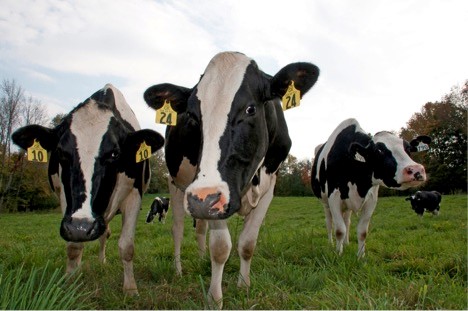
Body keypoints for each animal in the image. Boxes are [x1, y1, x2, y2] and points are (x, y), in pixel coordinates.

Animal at [11, 84, 165, 296]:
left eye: (114, 153)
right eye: (60, 152)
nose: (81, 227)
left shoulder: (135, 195)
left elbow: (126, 246)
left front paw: (130, 289)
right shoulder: (66, 200)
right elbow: (74, 247)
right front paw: (70, 284)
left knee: (105, 234)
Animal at [143, 52, 318, 308]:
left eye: (250, 109)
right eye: (193, 116)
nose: (202, 200)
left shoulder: (269, 187)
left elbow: (247, 243)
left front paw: (244, 285)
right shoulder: (213, 196)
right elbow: (220, 248)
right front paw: (214, 299)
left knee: (200, 228)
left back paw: (201, 258)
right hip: (177, 186)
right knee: (177, 229)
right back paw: (178, 270)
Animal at [312, 119, 430, 258]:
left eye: (408, 148)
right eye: (378, 151)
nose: (417, 170)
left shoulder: (371, 199)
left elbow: (362, 231)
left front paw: (360, 256)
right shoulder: (334, 197)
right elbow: (339, 230)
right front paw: (338, 254)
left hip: (347, 206)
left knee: (347, 221)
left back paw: (346, 243)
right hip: (325, 202)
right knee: (329, 223)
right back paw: (331, 244)